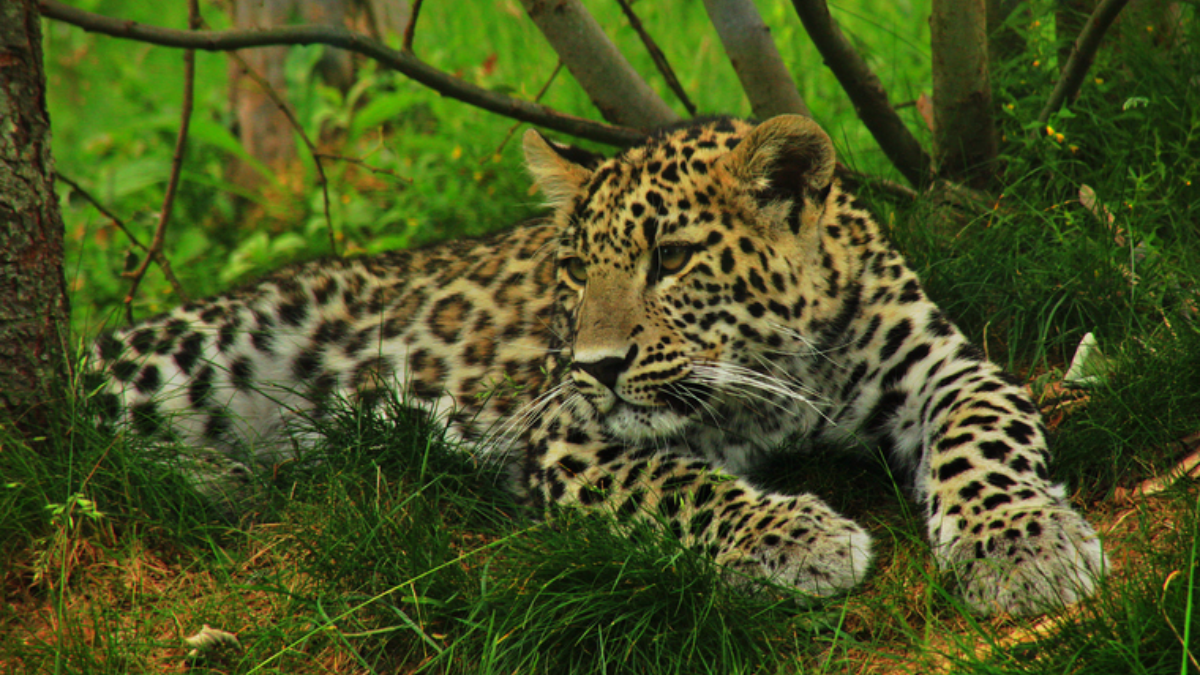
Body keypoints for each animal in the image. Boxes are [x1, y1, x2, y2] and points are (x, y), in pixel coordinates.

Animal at [91, 115, 1104, 614]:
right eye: (575, 268)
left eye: (672, 259)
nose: (596, 363)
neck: (776, 371)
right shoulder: (565, 433)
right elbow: (682, 484)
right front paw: (799, 538)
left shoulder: (948, 369)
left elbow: (983, 442)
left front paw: (1022, 547)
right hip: (177, 362)